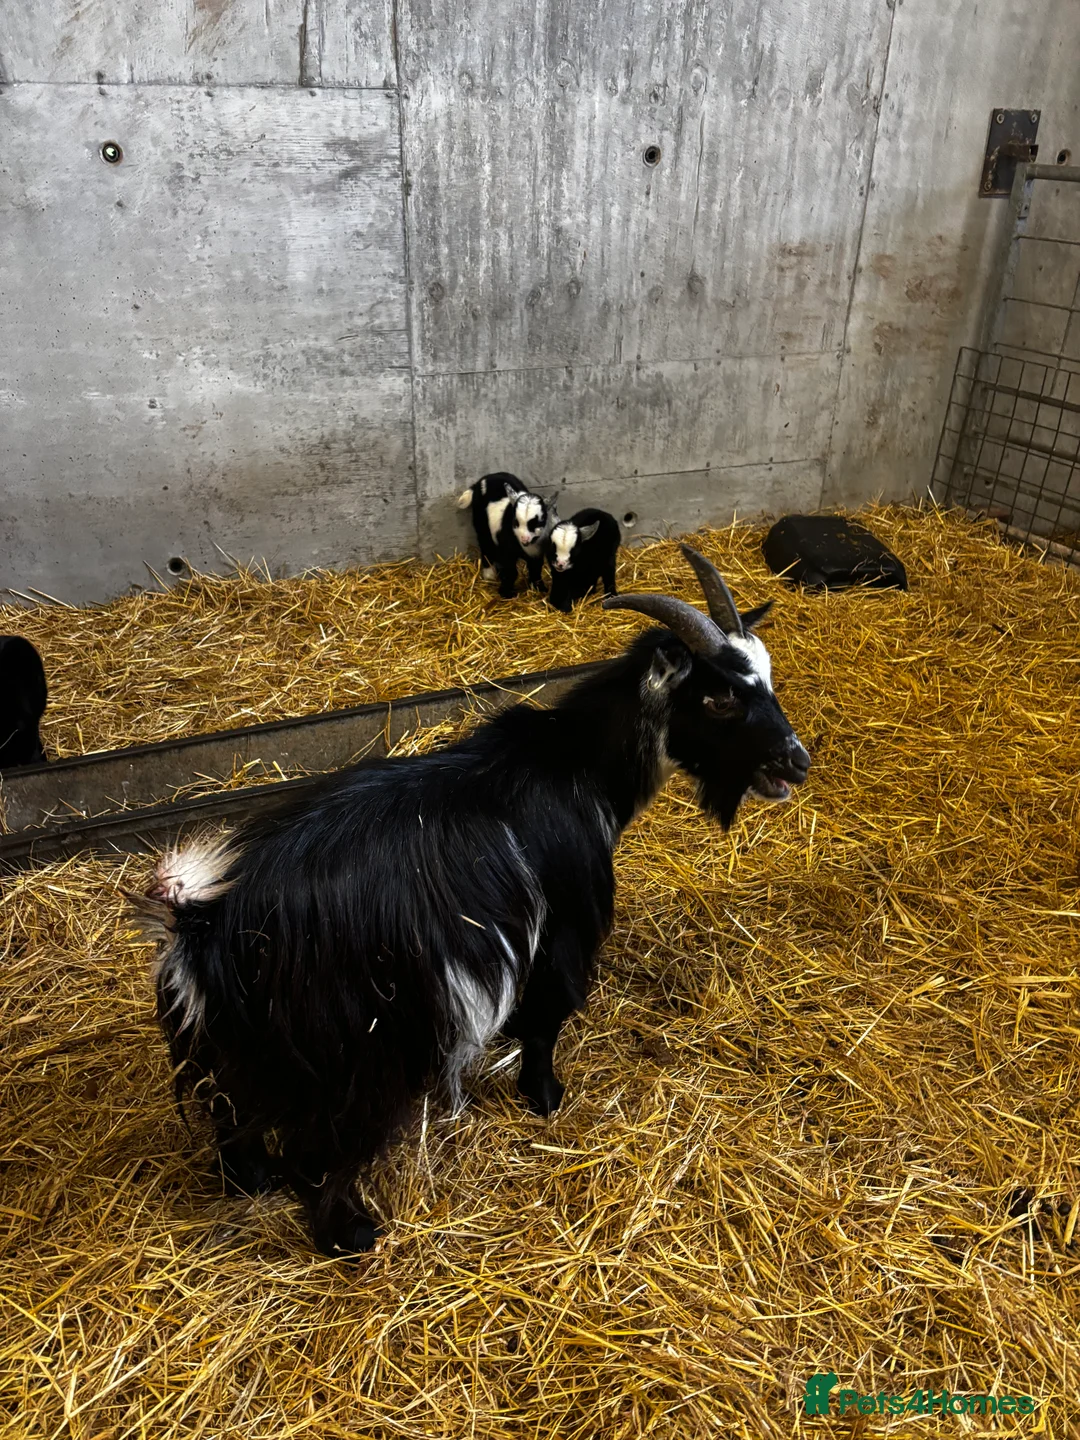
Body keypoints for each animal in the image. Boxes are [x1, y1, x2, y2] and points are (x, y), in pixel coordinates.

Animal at [134, 546, 809, 1257]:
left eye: (766, 679)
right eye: (720, 697)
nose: (796, 764)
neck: (578, 766)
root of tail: (201, 923)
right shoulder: (562, 929)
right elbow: (544, 1021)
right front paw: (545, 1098)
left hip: (223, 1045)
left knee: (228, 1114)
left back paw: (250, 1181)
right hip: (354, 1050)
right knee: (317, 1152)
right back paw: (351, 1233)